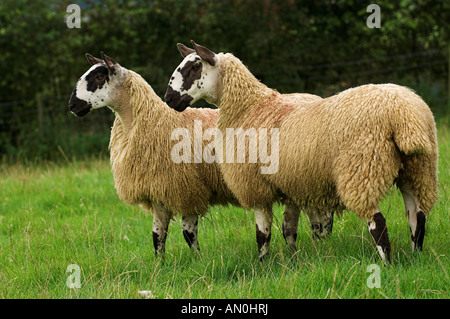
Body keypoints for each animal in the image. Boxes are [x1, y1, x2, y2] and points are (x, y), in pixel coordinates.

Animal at [164, 42, 436, 262]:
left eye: (194, 67)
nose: (168, 99)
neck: (250, 108)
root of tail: (404, 116)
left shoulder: (256, 185)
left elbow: (262, 234)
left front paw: (262, 266)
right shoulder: (291, 184)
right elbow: (289, 229)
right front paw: (293, 259)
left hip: (362, 170)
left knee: (378, 223)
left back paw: (387, 264)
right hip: (418, 170)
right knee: (417, 217)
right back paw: (416, 256)